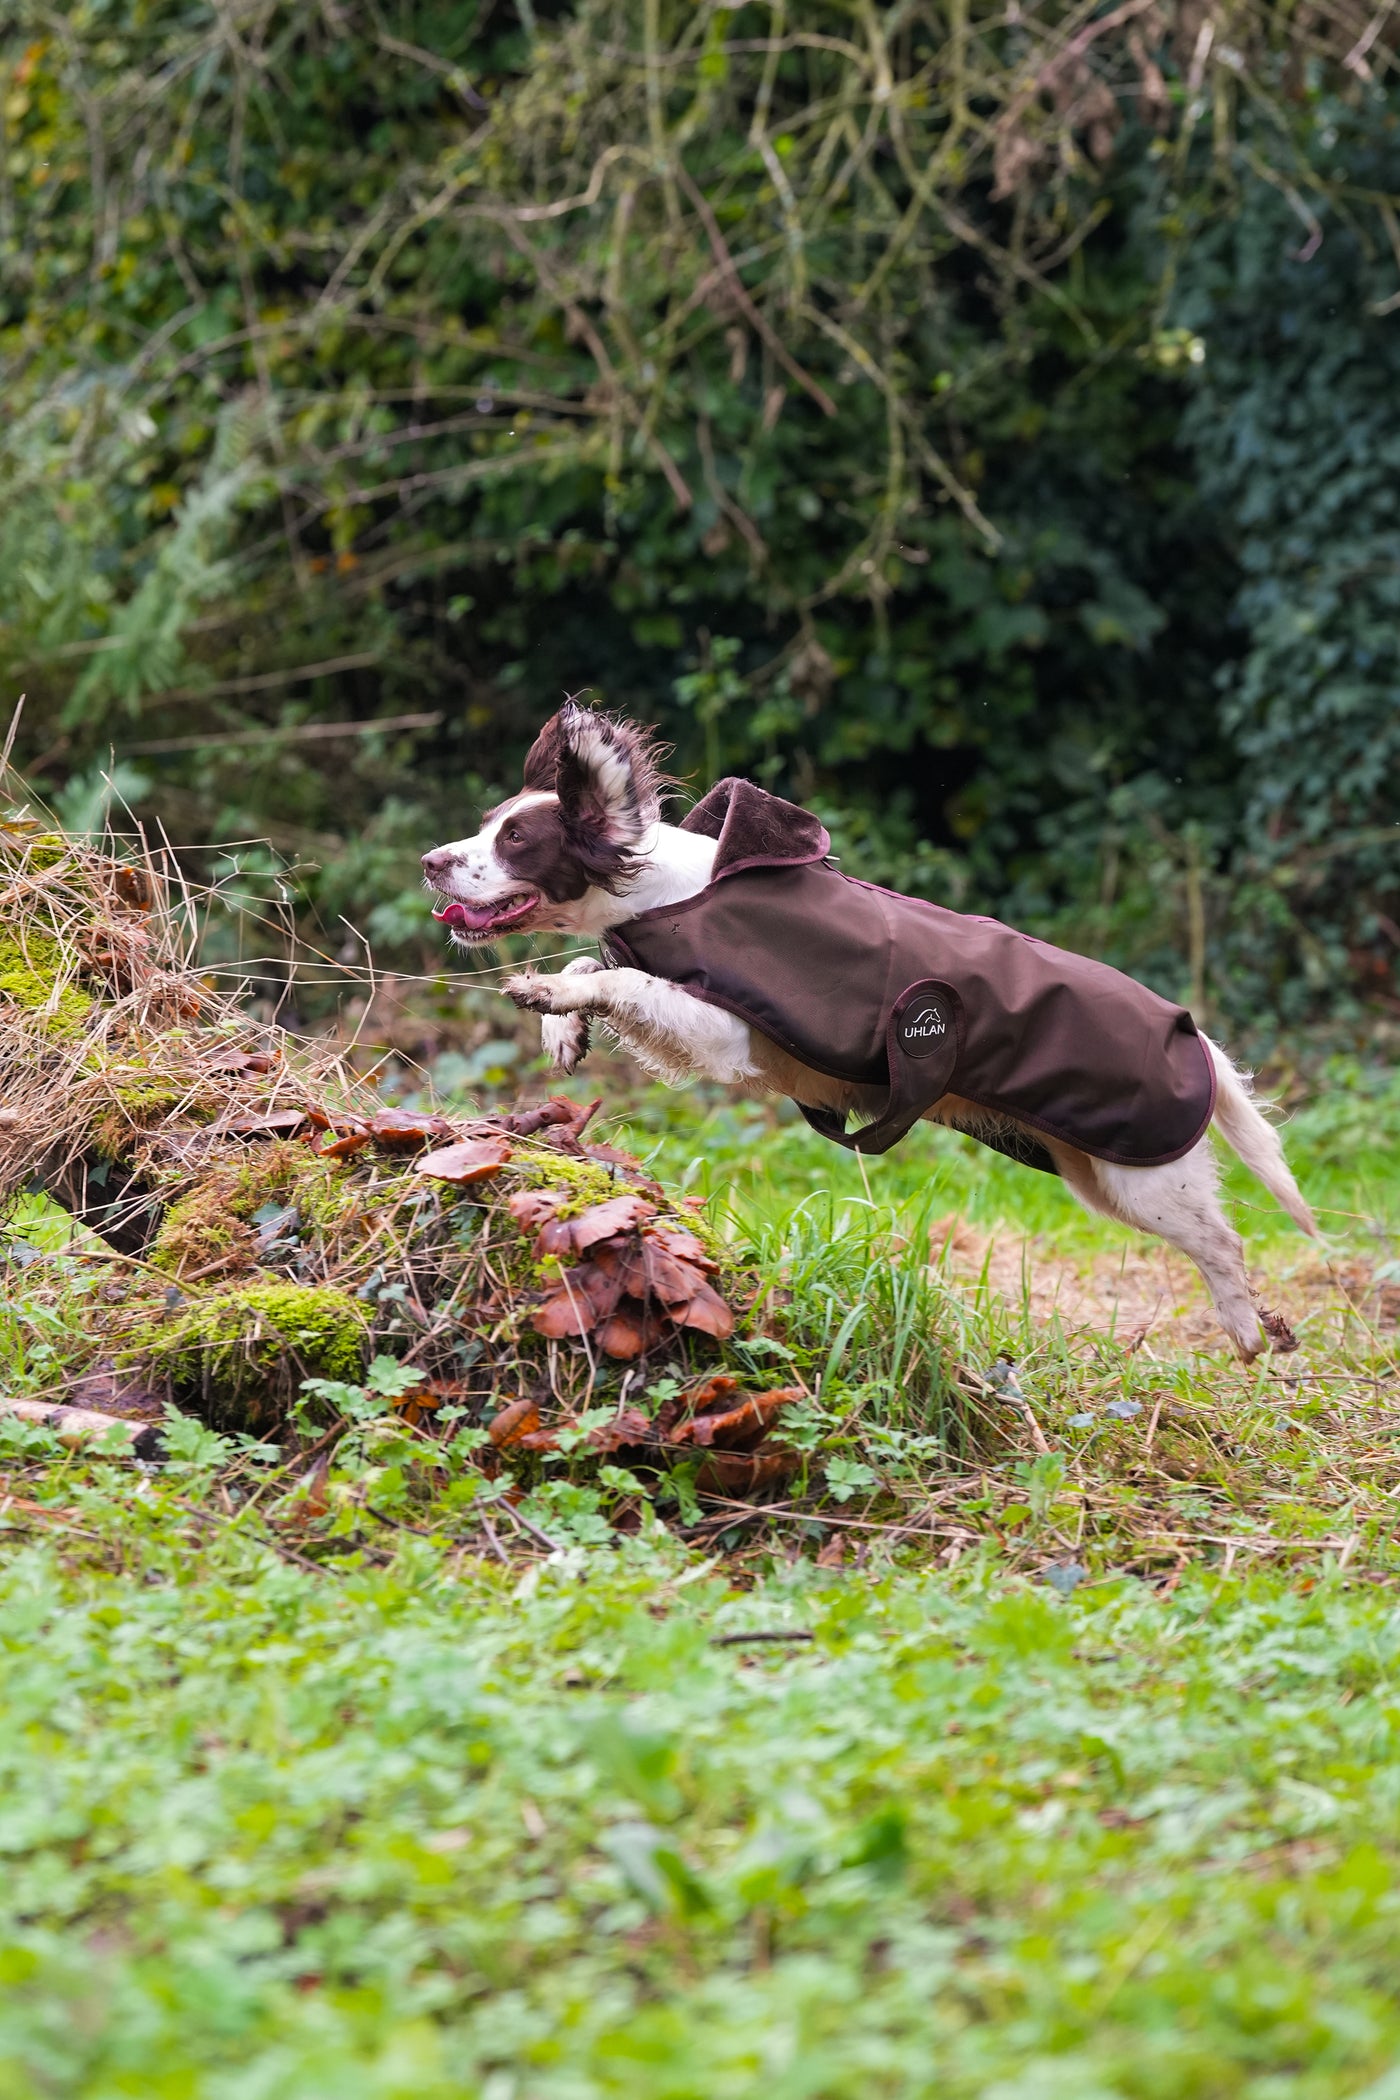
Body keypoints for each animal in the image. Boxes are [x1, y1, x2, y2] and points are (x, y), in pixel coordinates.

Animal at [423, 705, 1318, 1360]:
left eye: (516, 839)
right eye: (488, 823)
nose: (432, 861)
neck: (675, 893)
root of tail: (1195, 1038)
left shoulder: (728, 1033)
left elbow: (619, 976)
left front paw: (542, 991)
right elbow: (595, 964)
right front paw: (562, 1030)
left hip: (1148, 1179)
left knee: (1224, 1244)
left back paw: (1250, 1333)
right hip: (1094, 1173)